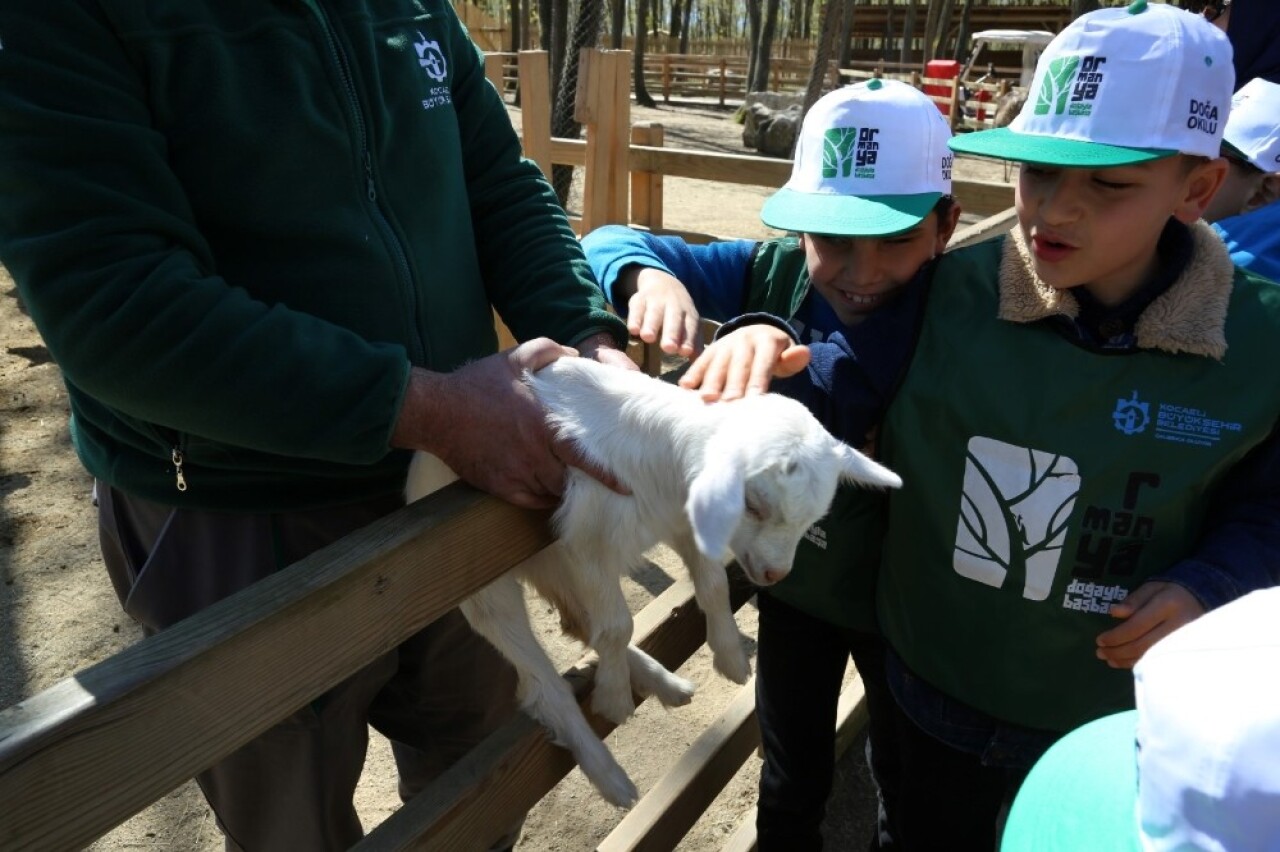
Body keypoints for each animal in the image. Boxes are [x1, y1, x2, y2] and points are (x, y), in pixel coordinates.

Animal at [407, 355, 901, 808]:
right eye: (754, 506)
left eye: (814, 519)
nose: (774, 574)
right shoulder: (587, 540)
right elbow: (617, 626)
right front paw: (612, 698)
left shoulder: (678, 521)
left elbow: (713, 587)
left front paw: (730, 658)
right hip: (482, 577)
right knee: (541, 679)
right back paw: (612, 777)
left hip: (551, 559)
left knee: (578, 622)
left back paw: (664, 683)